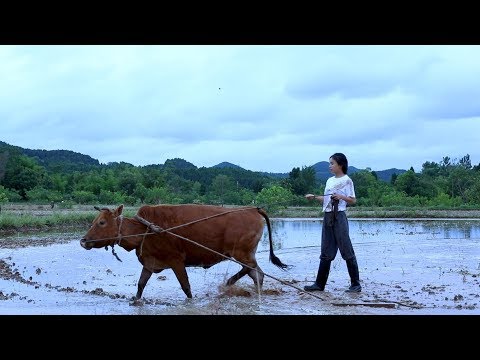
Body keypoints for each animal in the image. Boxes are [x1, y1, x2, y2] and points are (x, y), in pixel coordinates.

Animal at [79, 205, 288, 300]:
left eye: (101, 222)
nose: (83, 240)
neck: (145, 229)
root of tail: (253, 209)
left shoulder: (176, 261)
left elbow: (186, 288)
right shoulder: (150, 263)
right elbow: (140, 285)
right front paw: (135, 300)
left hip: (242, 253)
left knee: (255, 271)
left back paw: (232, 284)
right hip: (244, 254)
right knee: (255, 273)